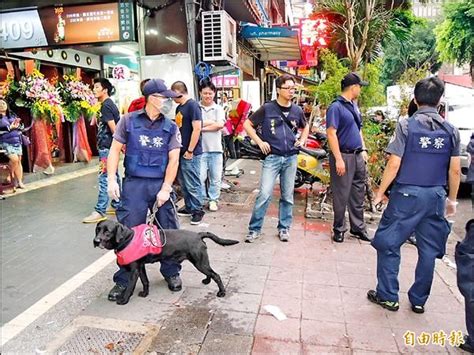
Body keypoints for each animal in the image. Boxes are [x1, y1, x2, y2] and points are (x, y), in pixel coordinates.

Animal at [94, 221, 239, 304]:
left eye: (107, 232)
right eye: (97, 229)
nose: (96, 241)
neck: (128, 239)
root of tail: (198, 235)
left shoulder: (134, 271)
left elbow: (130, 287)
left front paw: (124, 300)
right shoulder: (141, 267)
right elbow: (145, 281)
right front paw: (145, 294)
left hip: (200, 262)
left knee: (216, 275)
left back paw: (222, 292)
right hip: (201, 262)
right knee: (210, 273)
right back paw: (206, 281)